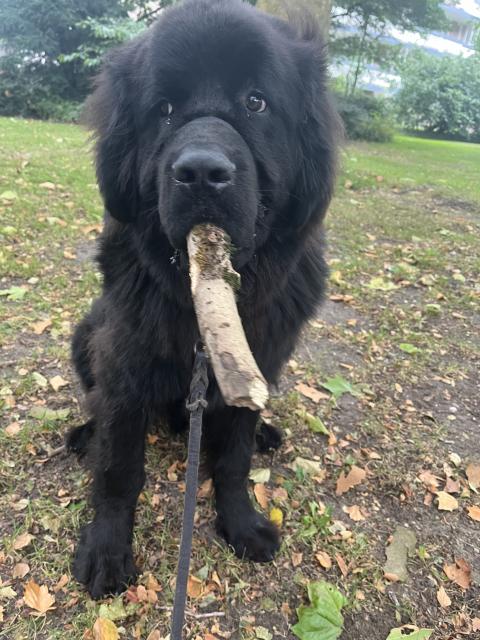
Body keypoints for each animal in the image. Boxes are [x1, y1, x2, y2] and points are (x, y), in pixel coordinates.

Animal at [67, 0, 340, 600]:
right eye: (165, 110)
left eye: (256, 102)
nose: (200, 172)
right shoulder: (122, 366)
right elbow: (118, 467)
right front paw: (106, 549)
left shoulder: (257, 363)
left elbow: (233, 458)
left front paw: (240, 523)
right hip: (86, 332)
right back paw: (82, 432)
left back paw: (267, 432)